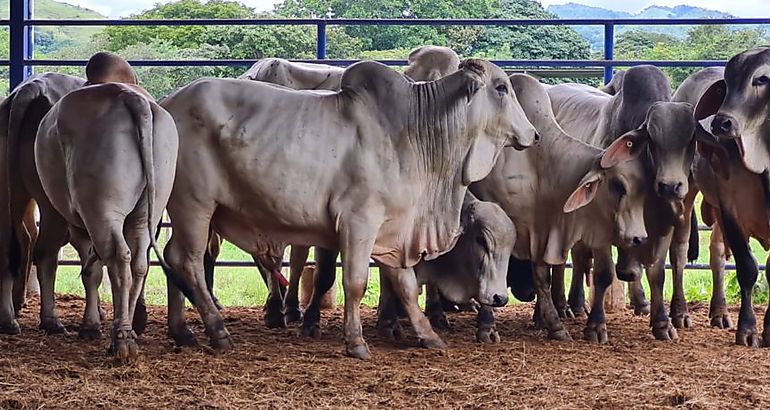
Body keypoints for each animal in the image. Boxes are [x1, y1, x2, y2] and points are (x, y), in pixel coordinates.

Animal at [160, 58, 536, 358]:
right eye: (501, 88)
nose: (533, 134)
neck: (412, 133)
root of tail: (167, 102)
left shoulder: (394, 230)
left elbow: (406, 285)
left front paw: (428, 335)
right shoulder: (359, 224)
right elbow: (354, 282)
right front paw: (355, 342)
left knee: (171, 257)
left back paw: (183, 332)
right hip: (194, 205)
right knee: (188, 261)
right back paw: (217, 331)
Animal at [468, 74, 648, 342]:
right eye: (618, 186)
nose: (638, 238)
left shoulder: (542, 228)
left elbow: (543, 275)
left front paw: (554, 324)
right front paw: (487, 326)